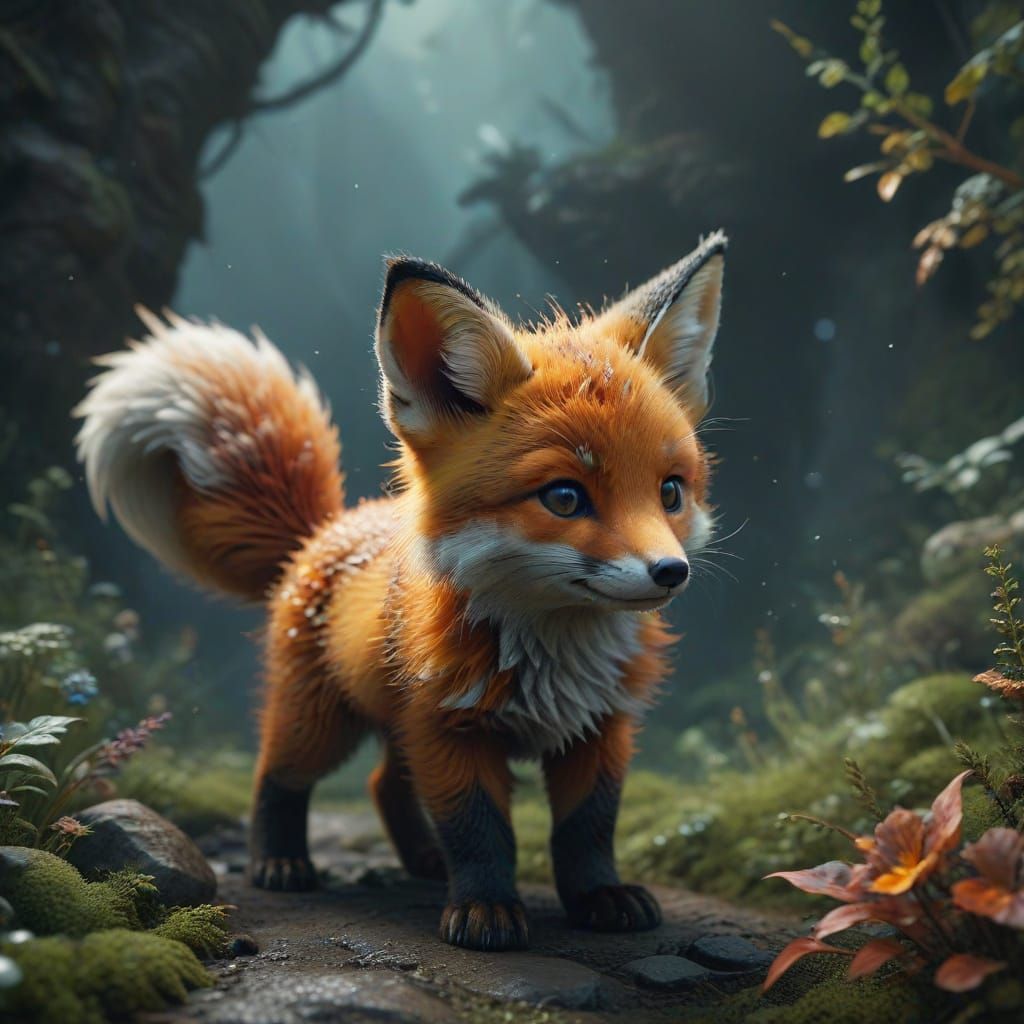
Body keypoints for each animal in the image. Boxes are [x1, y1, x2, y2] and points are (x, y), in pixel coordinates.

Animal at [73, 231, 727, 952]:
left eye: (670, 492)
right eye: (564, 497)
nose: (670, 572)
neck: (550, 660)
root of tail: (326, 528)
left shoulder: (600, 727)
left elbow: (588, 828)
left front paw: (598, 897)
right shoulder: (447, 729)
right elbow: (480, 831)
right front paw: (486, 908)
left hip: (391, 723)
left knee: (385, 783)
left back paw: (421, 860)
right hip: (320, 724)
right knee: (278, 774)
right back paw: (281, 861)